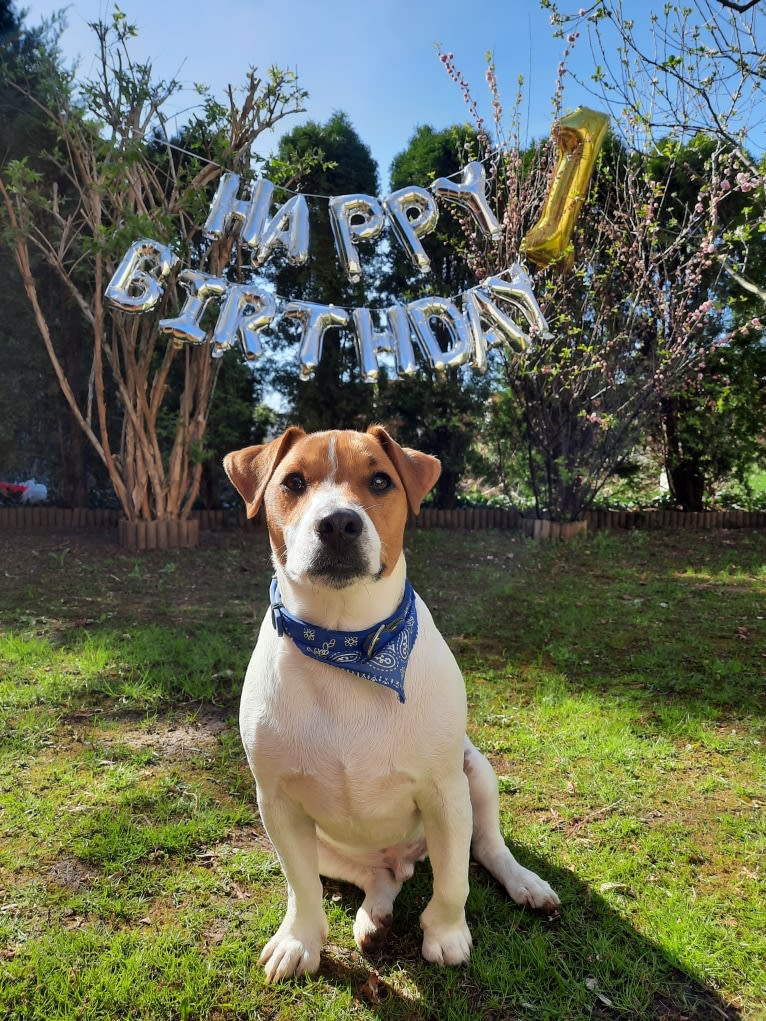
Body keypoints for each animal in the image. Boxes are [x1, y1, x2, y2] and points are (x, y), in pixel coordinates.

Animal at [224, 424, 559, 980]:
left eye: (380, 480)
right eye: (293, 482)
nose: (338, 523)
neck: (347, 643)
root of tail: (405, 855)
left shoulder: (445, 791)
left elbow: (453, 879)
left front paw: (446, 934)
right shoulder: (277, 804)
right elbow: (301, 886)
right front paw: (298, 940)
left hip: (476, 773)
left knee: (486, 846)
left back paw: (524, 882)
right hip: (326, 844)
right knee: (378, 876)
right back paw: (375, 916)